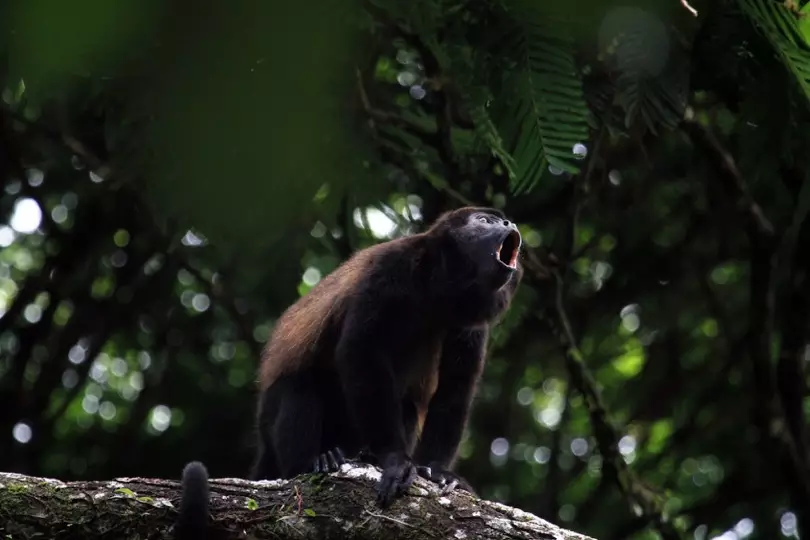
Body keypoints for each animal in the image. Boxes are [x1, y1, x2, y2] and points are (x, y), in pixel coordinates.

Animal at [249, 206, 520, 506]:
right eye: (485, 221)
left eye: (502, 220)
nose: (509, 222)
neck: (440, 289)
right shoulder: (389, 267)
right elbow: (361, 350)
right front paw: (394, 459)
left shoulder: (472, 321)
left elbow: (456, 386)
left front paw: (438, 470)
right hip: (270, 419)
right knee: (298, 388)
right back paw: (313, 462)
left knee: (407, 407)